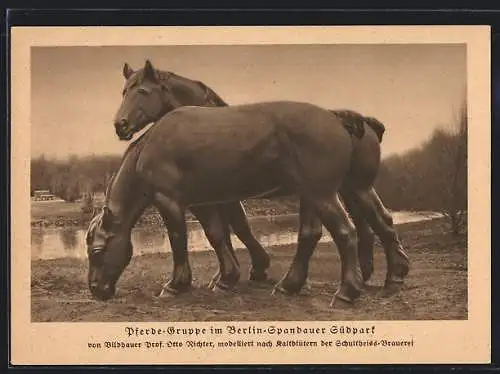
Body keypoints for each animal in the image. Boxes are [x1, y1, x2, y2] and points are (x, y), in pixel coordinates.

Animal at [108, 60, 406, 296]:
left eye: (142, 91)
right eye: (123, 92)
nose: (120, 125)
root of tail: (355, 121)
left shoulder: (224, 196)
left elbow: (237, 227)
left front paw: (249, 270)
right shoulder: (219, 195)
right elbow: (229, 230)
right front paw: (232, 274)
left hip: (336, 191)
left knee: (362, 226)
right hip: (355, 189)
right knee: (379, 222)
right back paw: (391, 276)